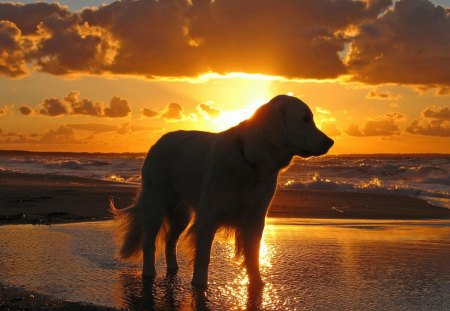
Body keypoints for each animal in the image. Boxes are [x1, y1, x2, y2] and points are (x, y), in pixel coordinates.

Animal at [111, 95, 332, 290]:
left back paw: (173, 269)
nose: (330, 142)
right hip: (155, 204)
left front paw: (257, 284)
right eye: (305, 119)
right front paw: (199, 285)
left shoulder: (255, 218)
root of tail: (157, 143)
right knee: (149, 242)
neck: (250, 161)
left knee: (169, 241)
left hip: (181, 214)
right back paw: (149, 274)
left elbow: (253, 255)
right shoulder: (209, 217)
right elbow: (203, 257)